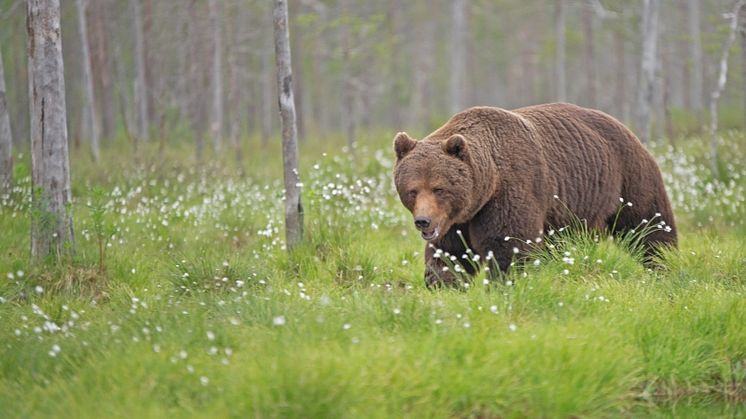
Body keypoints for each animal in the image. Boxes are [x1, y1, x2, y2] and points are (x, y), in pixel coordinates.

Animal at [392, 103, 676, 288]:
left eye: (439, 188)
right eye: (412, 190)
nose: (423, 221)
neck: (485, 187)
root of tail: (626, 128)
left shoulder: (510, 191)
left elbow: (509, 244)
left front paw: (501, 282)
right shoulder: (455, 219)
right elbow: (449, 252)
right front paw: (443, 282)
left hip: (627, 177)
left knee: (648, 224)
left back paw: (663, 264)